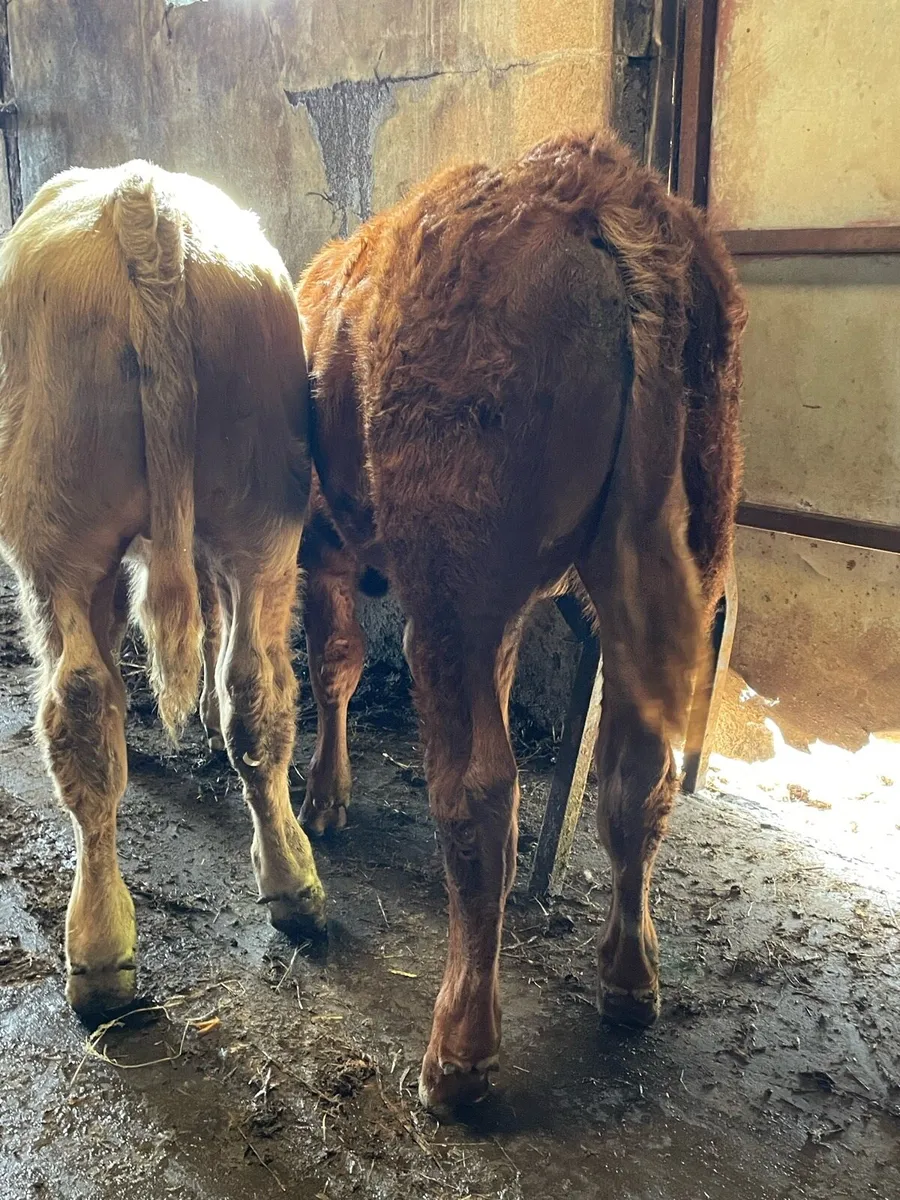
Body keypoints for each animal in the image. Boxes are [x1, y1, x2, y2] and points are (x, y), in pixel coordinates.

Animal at [0, 161, 326, 1018]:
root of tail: (139, 202)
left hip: (54, 538)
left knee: (81, 703)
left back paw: (98, 952)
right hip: (264, 514)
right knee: (258, 688)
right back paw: (293, 882)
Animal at [295, 131, 745, 1114]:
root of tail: (599, 185)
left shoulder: (321, 547)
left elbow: (335, 662)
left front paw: (322, 797)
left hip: (451, 592)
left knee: (477, 793)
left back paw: (459, 1051)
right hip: (682, 551)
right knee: (637, 778)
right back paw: (629, 979)